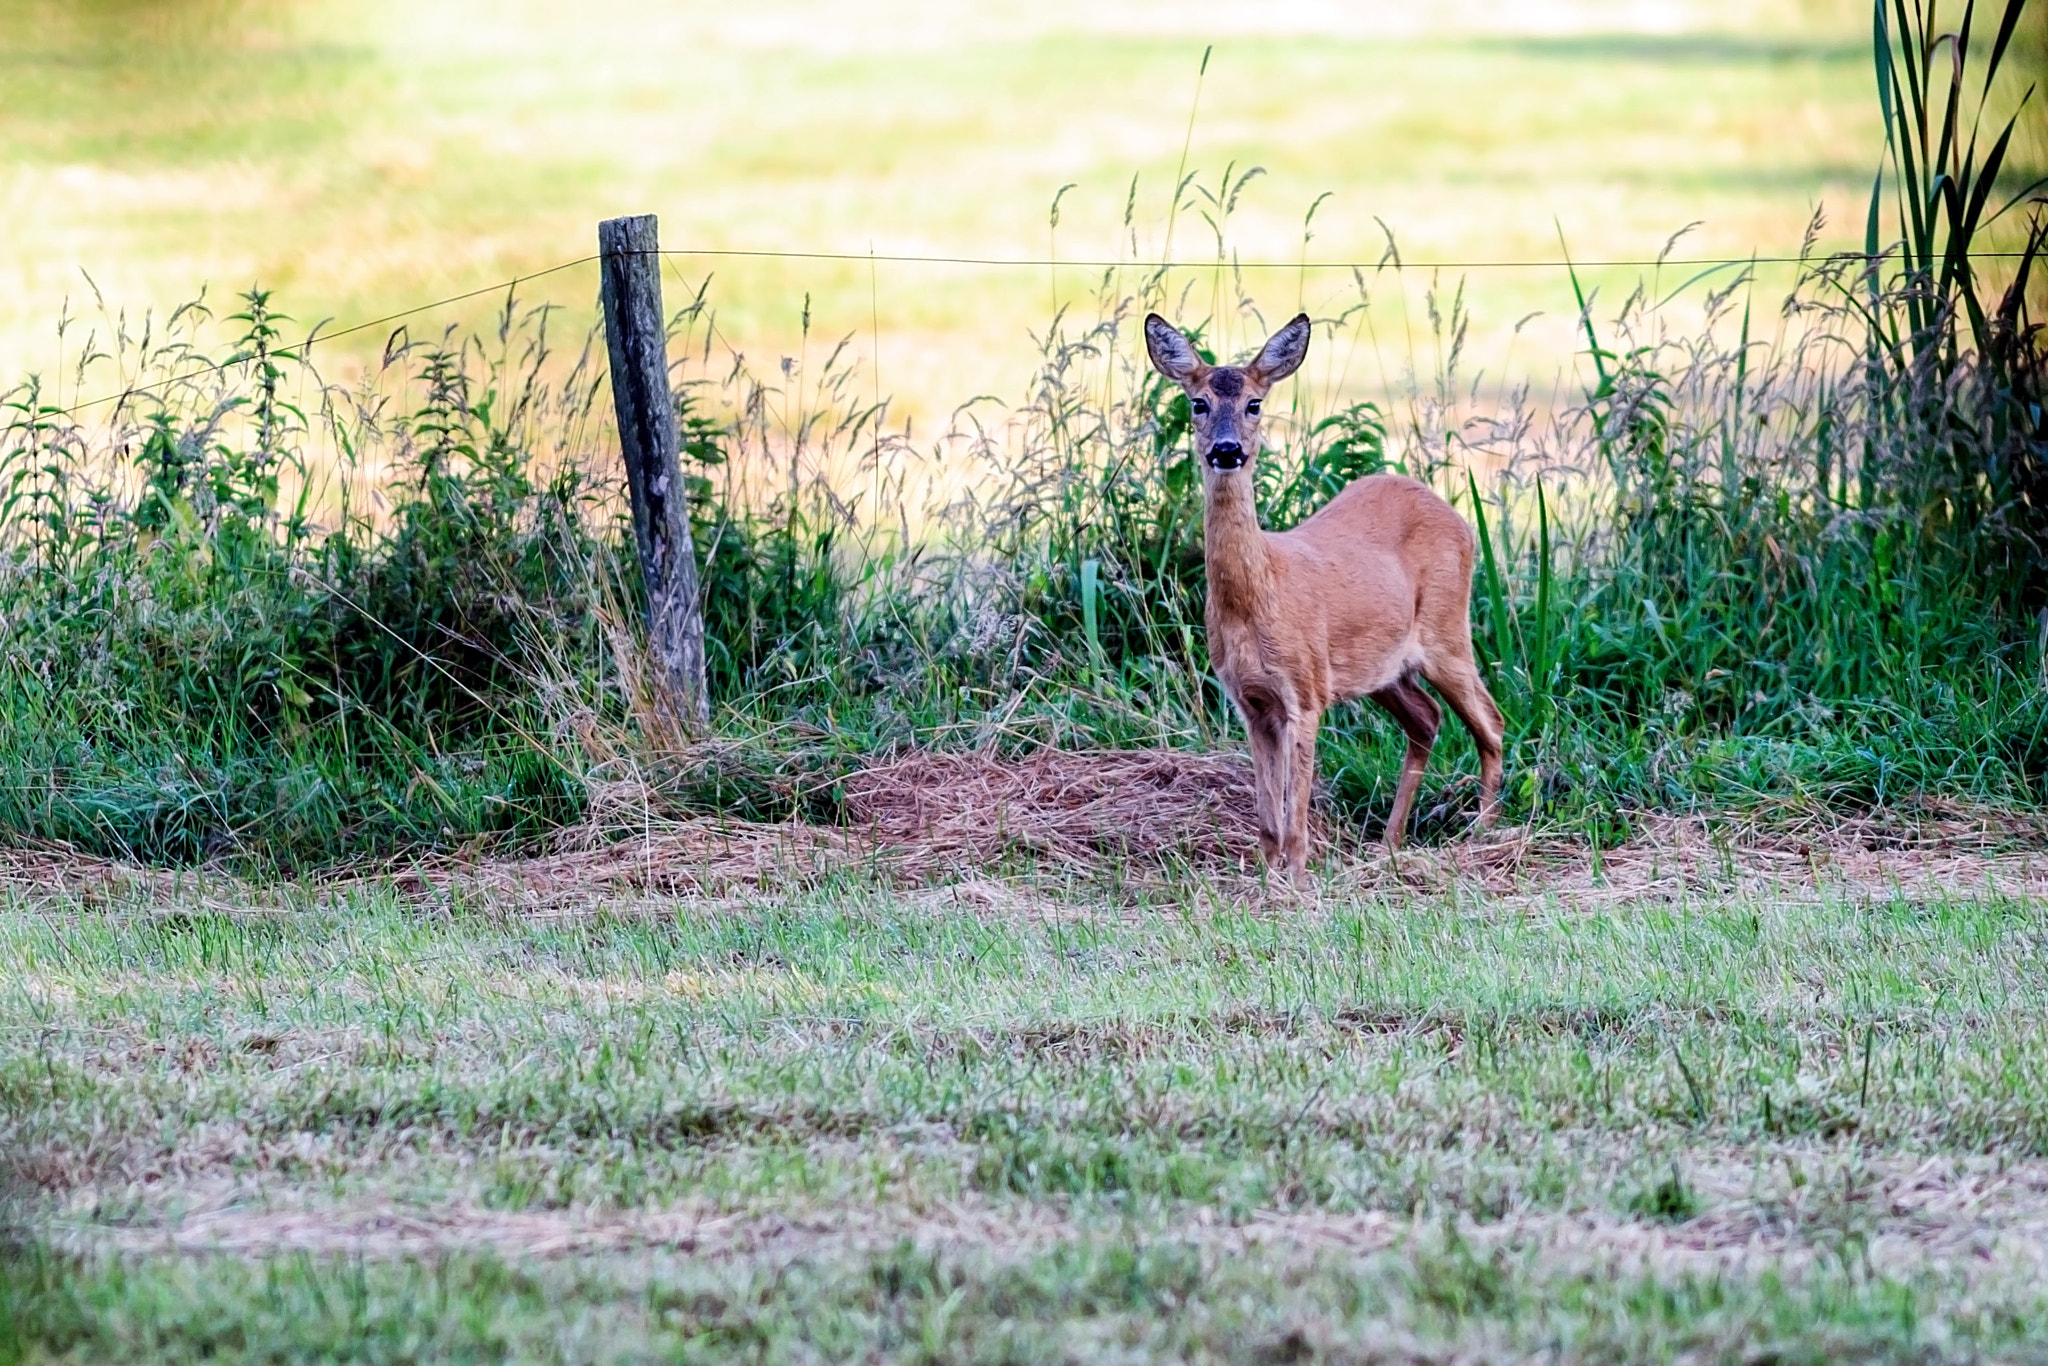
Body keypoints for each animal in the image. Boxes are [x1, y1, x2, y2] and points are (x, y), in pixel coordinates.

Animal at [1146, 313, 1515, 880]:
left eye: (1255, 403)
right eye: (1198, 402)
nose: (1227, 450)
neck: (1257, 598)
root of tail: (1459, 518)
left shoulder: (1306, 689)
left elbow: (1295, 813)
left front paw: (1297, 879)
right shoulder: (1250, 700)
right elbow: (1267, 818)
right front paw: (1268, 875)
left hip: (1446, 631)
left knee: (1490, 721)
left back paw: (1480, 833)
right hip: (1382, 668)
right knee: (1427, 718)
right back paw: (1390, 843)